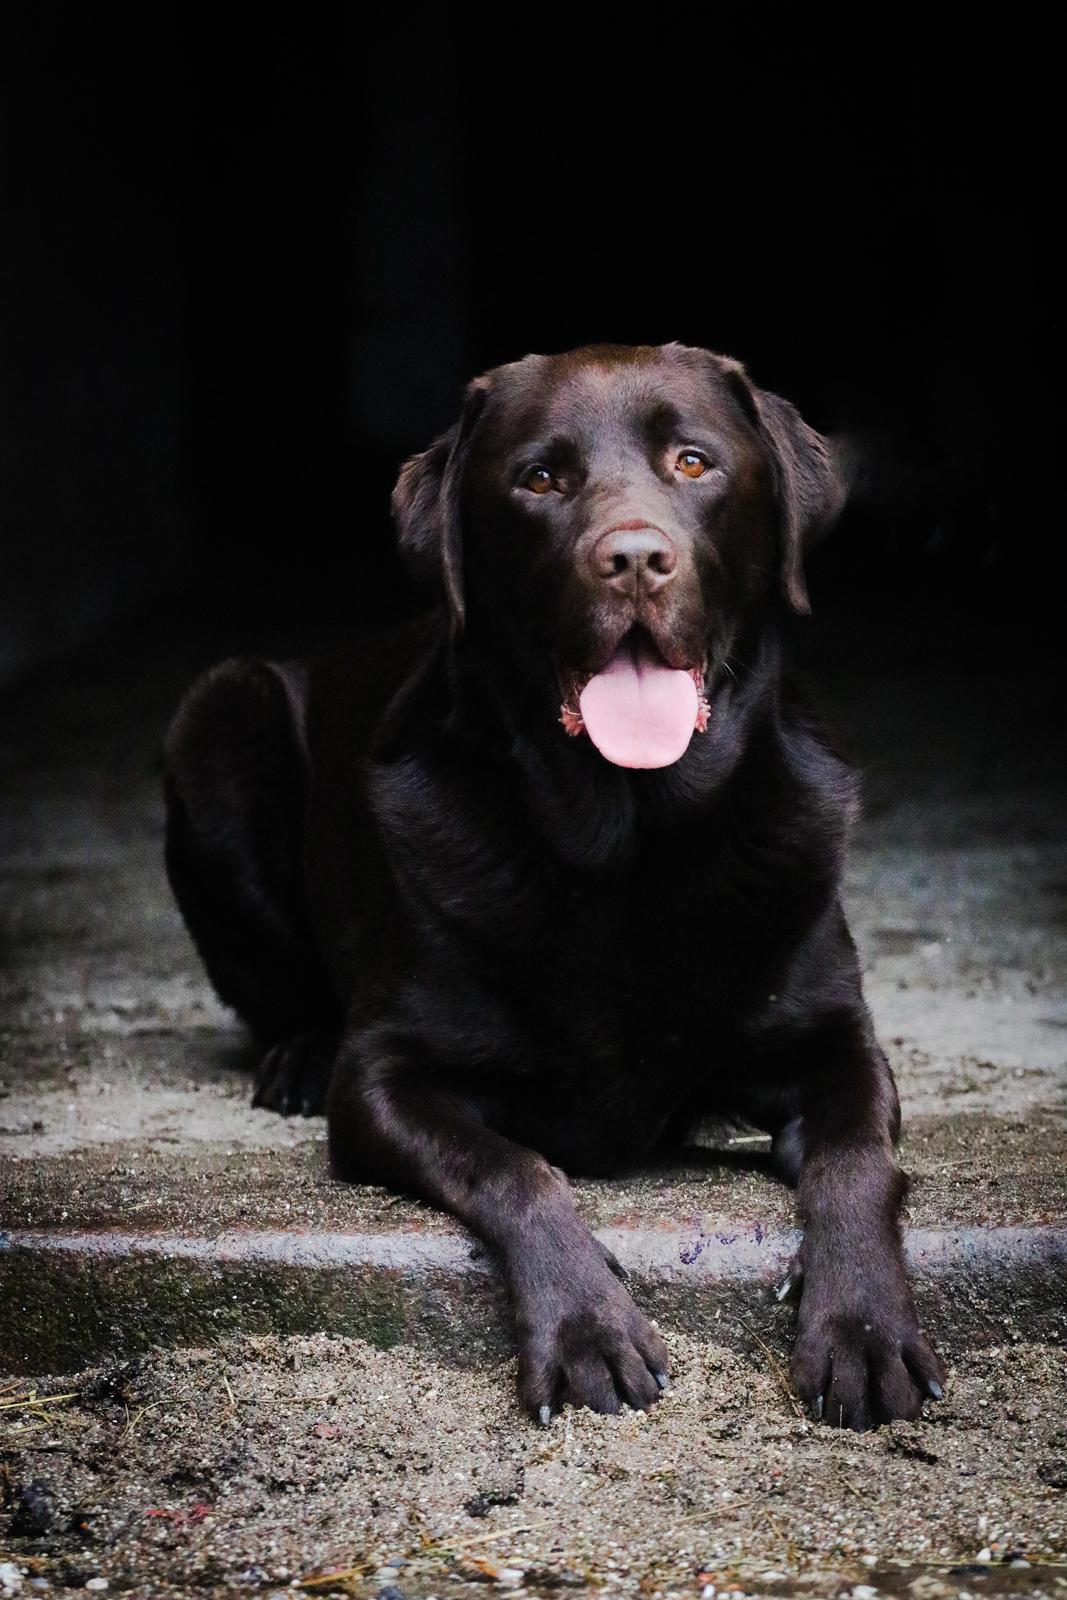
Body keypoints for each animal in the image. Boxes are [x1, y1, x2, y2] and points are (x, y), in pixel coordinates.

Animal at [164, 337, 940, 1427]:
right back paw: (299, 1055)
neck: (629, 839)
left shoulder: (838, 1044)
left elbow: (856, 1162)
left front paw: (862, 1328)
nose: (633, 558)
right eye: (539, 479)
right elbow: (513, 1167)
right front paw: (583, 1328)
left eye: (692, 463)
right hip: (217, 712)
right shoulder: (387, 1080)